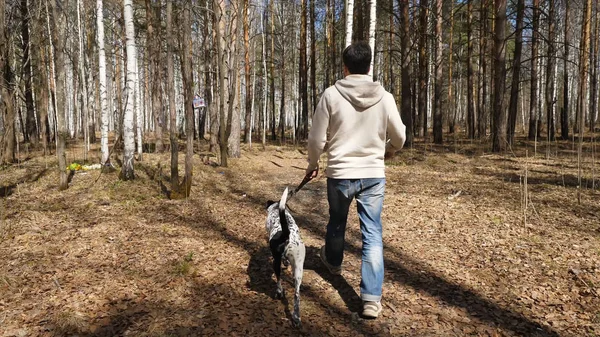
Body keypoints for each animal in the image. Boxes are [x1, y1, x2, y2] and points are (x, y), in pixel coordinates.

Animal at [266, 186, 308, 326]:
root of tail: (287, 235)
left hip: (276, 262)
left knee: (279, 279)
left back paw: (279, 292)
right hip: (299, 268)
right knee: (297, 294)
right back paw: (296, 317)